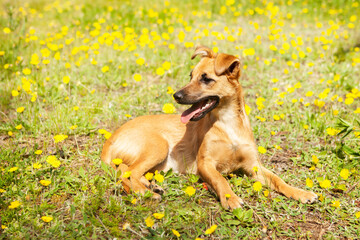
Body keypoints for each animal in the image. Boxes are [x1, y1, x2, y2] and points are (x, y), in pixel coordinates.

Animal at [101, 46, 318, 209]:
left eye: (206, 79)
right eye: (191, 76)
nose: (176, 95)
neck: (228, 125)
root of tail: (111, 139)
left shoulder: (253, 166)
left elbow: (278, 180)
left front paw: (301, 192)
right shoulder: (205, 164)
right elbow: (221, 180)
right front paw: (230, 198)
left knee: (127, 170)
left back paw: (149, 186)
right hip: (157, 146)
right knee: (126, 173)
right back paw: (144, 193)